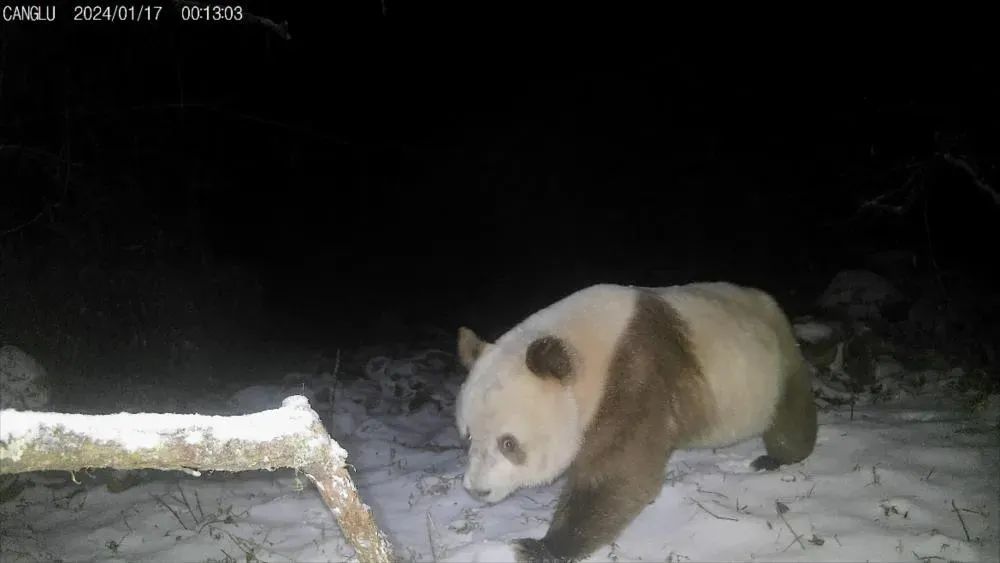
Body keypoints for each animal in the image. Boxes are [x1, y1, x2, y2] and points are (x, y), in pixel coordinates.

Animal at [458, 284, 816, 560]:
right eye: (468, 437)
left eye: (508, 443)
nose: (477, 490)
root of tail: (767, 300)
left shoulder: (634, 376)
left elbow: (619, 471)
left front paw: (539, 547)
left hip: (776, 361)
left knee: (789, 414)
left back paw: (776, 458)